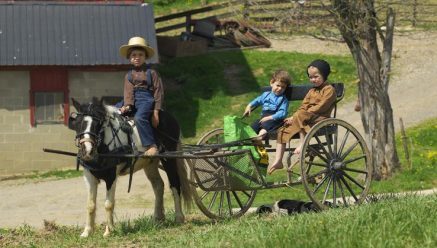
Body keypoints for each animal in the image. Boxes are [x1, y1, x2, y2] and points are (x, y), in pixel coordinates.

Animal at [68, 98, 191, 237]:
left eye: (98, 123)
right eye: (78, 123)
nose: (87, 151)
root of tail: (169, 117)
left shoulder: (111, 177)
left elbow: (108, 204)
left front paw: (109, 231)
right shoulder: (89, 176)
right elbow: (90, 205)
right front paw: (87, 232)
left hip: (169, 159)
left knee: (175, 183)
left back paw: (179, 217)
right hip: (150, 163)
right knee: (159, 185)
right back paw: (157, 219)